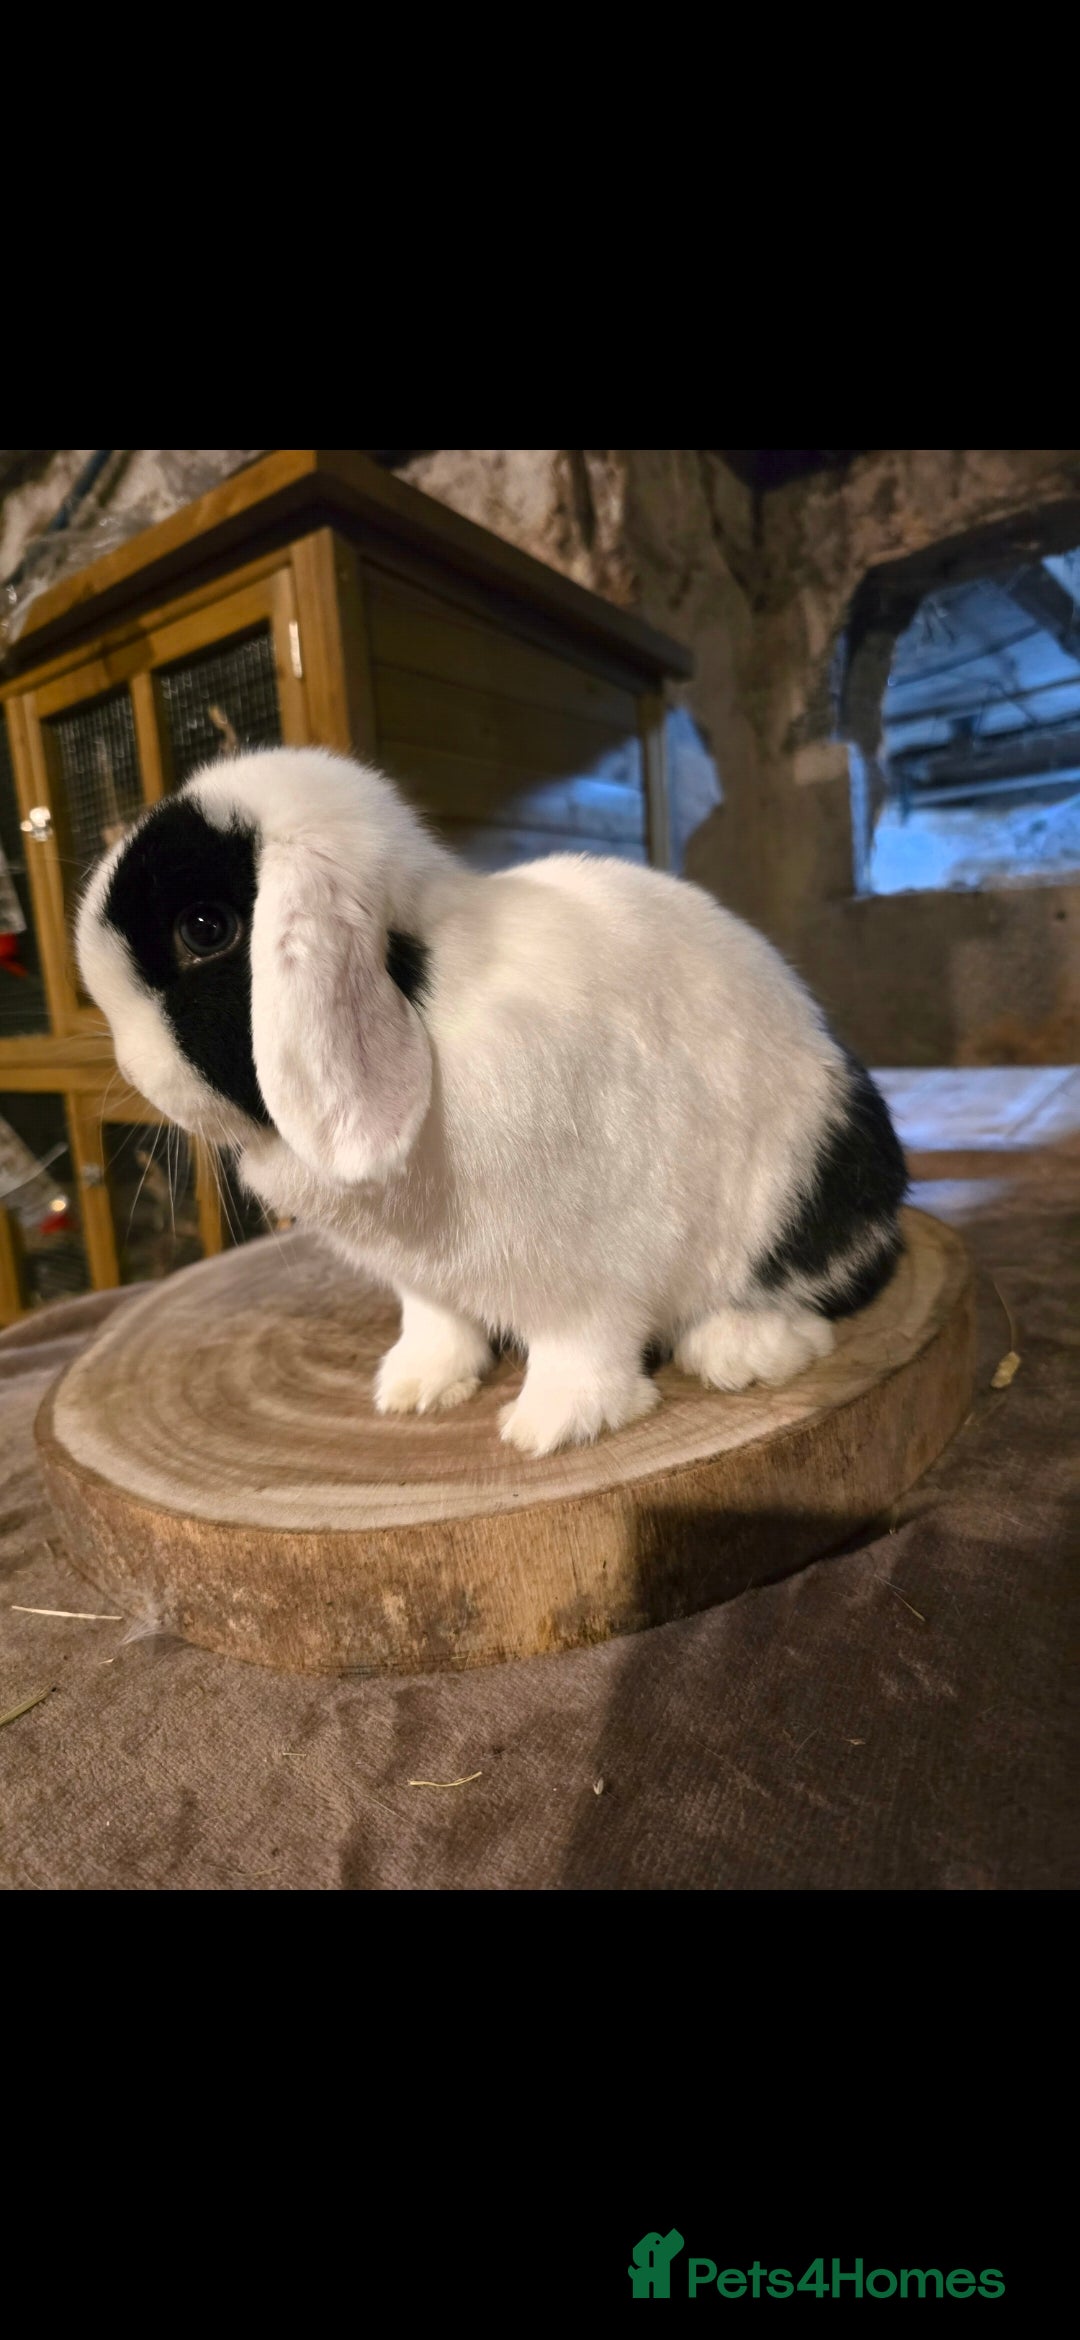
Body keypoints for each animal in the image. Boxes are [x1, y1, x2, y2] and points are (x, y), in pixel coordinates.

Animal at [76, 745, 907, 1458]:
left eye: (205, 928)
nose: (134, 1072)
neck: (429, 1019)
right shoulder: (425, 1279)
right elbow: (437, 1324)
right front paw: (413, 1388)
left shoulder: (591, 1269)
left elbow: (582, 1345)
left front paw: (550, 1426)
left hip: (805, 1190)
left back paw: (743, 1352)